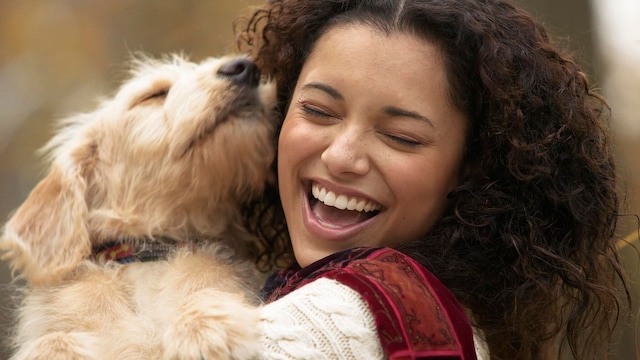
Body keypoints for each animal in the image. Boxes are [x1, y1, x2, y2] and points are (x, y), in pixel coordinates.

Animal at [0, 54, 276, 360]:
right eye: (153, 95)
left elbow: (202, 284)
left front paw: (205, 329)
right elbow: (53, 338)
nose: (245, 68)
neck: (148, 256)